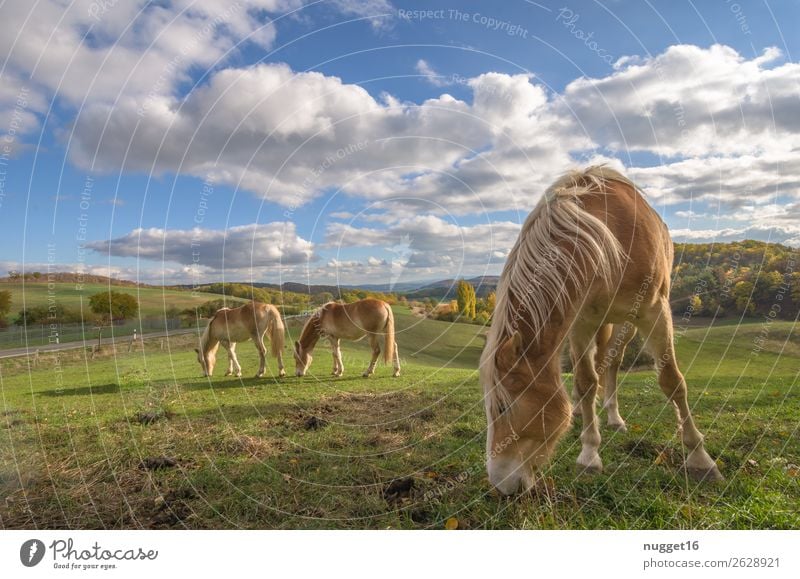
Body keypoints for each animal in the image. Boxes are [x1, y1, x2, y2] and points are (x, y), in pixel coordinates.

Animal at [482, 165, 724, 496]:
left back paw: (613, 417)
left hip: (626, 325)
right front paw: (589, 454)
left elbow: (672, 381)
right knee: (595, 367)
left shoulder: (656, 313)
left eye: (504, 408)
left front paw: (700, 459)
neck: (610, 240)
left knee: (614, 362)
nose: (500, 482)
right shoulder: (581, 320)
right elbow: (585, 382)